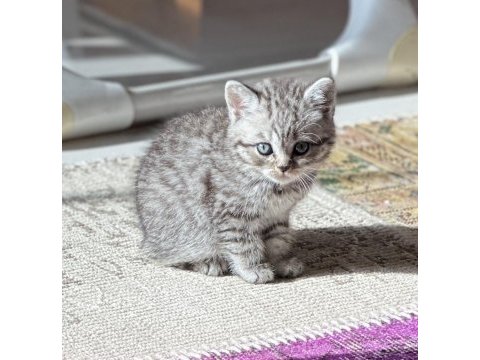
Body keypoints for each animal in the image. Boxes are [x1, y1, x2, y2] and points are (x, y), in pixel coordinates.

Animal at [135, 77, 338, 282]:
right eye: (264, 148)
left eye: (301, 147)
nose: (283, 167)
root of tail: (147, 237)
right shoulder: (229, 212)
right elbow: (243, 243)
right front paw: (252, 268)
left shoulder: (278, 214)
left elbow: (278, 239)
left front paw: (281, 261)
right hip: (187, 231)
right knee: (167, 256)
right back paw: (208, 262)